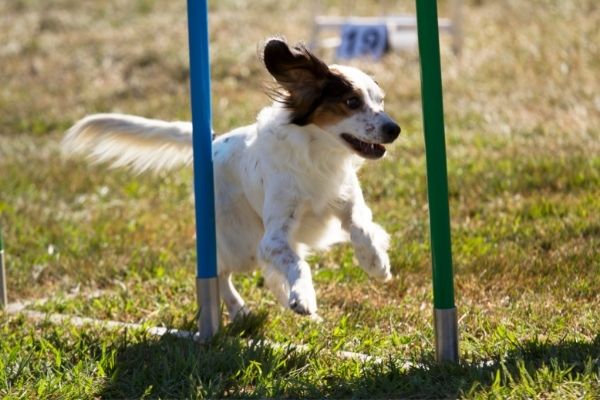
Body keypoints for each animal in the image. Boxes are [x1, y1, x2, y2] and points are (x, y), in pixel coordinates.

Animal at [63, 37, 400, 318]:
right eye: (351, 102)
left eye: (381, 100)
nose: (394, 129)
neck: (318, 157)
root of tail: (213, 142)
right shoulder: (274, 237)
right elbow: (295, 263)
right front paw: (303, 297)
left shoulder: (347, 202)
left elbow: (362, 228)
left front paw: (376, 263)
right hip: (242, 243)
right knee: (221, 273)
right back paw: (239, 309)